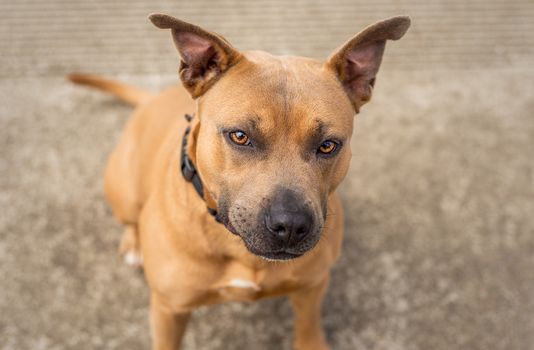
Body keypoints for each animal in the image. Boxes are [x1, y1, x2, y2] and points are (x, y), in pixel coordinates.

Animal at [70, 13, 410, 350]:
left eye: (328, 145)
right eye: (240, 136)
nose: (290, 226)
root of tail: (151, 100)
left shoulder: (312, 287)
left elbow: (308, 327)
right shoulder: (169, 309)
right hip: (123, 191)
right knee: (130, 218)